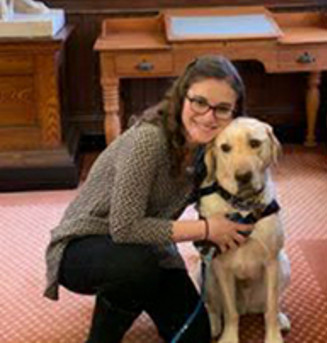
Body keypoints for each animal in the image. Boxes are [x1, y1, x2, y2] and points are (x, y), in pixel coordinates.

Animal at [200, 117, 292, 343]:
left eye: (255, 143)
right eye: (225, 148)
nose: (242, 176)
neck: (242, 207)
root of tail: (248, 308)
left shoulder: (271, 262)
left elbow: (270, 308)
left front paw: (273, 337)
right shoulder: (221, 266)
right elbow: (230, 312)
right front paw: (229, 337)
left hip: (284, 265)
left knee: (272, 304)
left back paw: (281, 319)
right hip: (207, 273)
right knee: (213, 307)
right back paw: (213, 325)